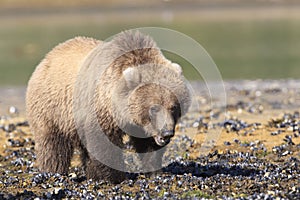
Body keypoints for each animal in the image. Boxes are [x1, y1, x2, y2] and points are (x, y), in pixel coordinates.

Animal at [25, 30, 190, 183]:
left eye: (173, 107)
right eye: (154, 108)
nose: (167, 132)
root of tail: (47, 57)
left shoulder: (141, 125)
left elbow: (147, 144)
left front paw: (154, 170)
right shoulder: (100, 110)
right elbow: (104, 144)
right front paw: (116, 177)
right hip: (52, 109)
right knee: (53, 146)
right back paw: (54, 172)